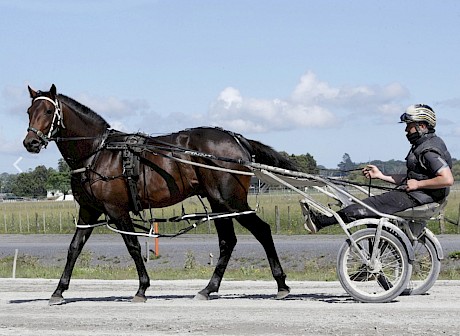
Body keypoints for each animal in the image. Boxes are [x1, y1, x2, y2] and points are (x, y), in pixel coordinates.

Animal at [22, 84, 298, 304]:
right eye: (29, 111)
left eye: (48, 112)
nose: (30, 143)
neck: (99, 152)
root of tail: (237, 140)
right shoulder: (89, 210)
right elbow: (74, 248)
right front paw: (58, 291)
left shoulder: (116, 209)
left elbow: (133, 246)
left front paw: (142, 289)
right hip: (218, 203)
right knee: (227, 242)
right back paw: (209, 289)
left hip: (231, 201)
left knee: (262, 231)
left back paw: (281, 285)